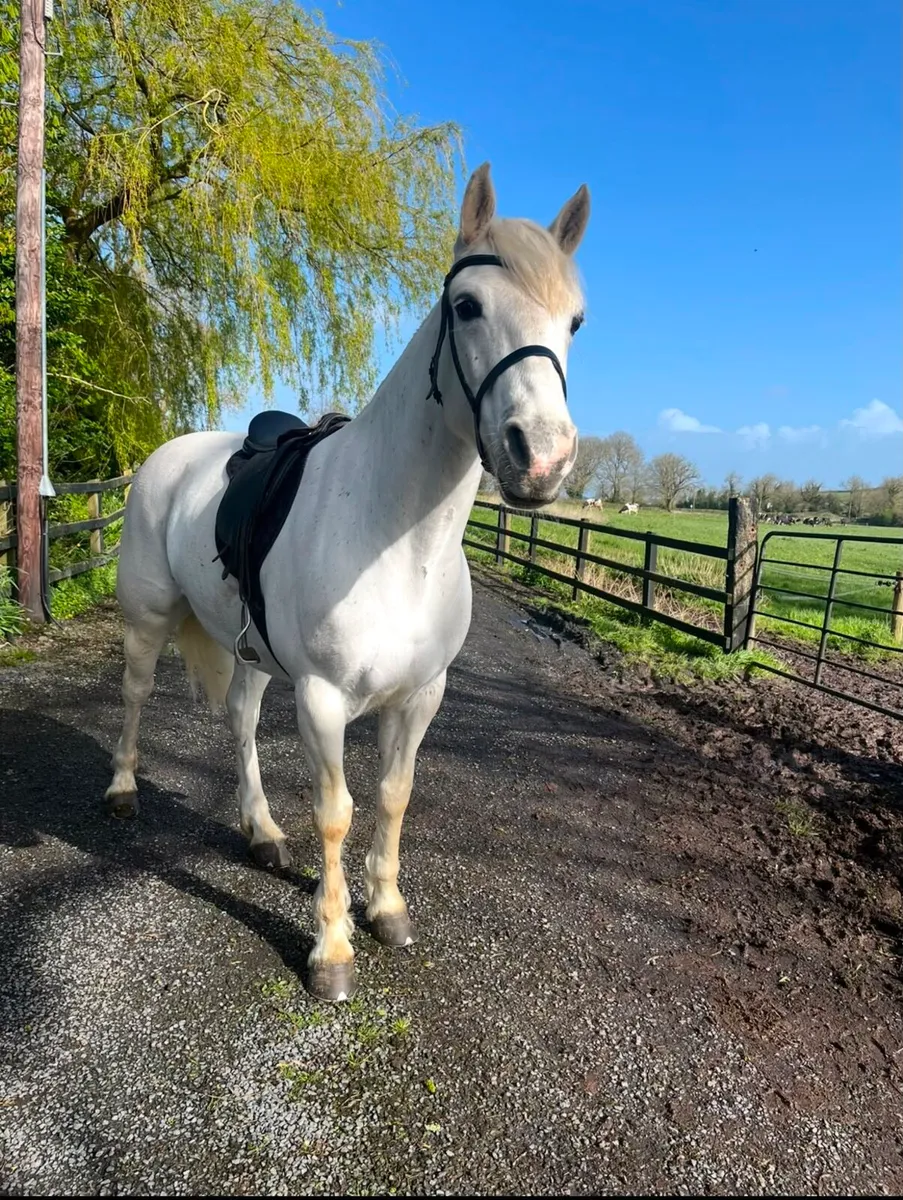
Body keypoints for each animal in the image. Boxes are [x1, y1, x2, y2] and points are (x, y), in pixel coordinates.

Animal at [105, 163, 590, 1002]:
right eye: (466, 306)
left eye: (576, 322)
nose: (542, 458)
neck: (397, 542)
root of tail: (168, 455)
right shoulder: (323, 700)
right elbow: (336, 810)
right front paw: (331, 950)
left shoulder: (420, 696)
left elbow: (394, 795)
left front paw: (386, 908)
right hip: (149, 620)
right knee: (135, 697)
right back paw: (124, 791)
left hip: (253, 653)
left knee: (239, 721)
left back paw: (262, 832)